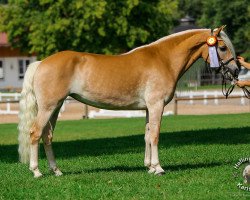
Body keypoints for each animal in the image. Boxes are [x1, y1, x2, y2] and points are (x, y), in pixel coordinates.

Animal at [18, 25, 240, 177]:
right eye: (222, 47)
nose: (236, 70)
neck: (164, 59)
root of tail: (41, 62)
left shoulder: (149, 108)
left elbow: (147, 135)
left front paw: (149, 167)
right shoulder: (157, 105)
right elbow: (155, 135)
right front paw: (158, 168)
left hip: (55, 108)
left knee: (47, 136)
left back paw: (56, 171)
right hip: (48, 107)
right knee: (35, 133)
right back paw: (36, 171)